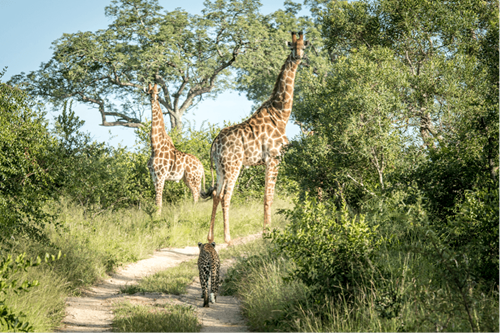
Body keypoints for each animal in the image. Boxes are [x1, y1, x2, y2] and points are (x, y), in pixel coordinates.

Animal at [146, 83, 207, 213]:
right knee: (196, 195)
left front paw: (157, 217)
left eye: (157, 93)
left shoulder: (160, 176)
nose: (152, 98)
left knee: (196, 196)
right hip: (188, 179)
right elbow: (157, 201)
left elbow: (159, 201)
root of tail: (202, 166)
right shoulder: (153, 176)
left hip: (192, 178)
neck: (155, 146)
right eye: (148, 93)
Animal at [206, 32, 308, 243]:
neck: (281, 115)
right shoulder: (274, 158)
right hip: (234, 165)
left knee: (216, 195)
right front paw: (267, 231)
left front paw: (266, 229)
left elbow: (268, 196)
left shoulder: (269, 161)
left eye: (304, 46)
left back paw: (210, 237)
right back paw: (227, 238)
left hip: (220, 167)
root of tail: (215, 143)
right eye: (292, 46)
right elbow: (268, 196)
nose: (298, 57)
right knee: (226, 196)